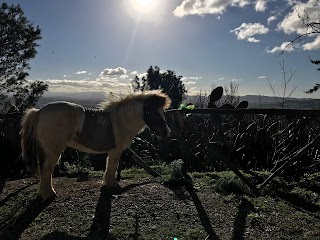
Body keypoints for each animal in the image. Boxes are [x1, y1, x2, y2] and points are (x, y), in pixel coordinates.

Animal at [20, 90, 171, 199]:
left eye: (163, 112)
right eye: (154, 113)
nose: (166, 132)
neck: (122, 120)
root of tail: (39, 111)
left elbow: (110, 166)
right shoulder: (116, 151)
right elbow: (113, 166)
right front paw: (113, 184)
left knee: (44, 169)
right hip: (53, 151)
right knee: (46, 170)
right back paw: (50, 194)